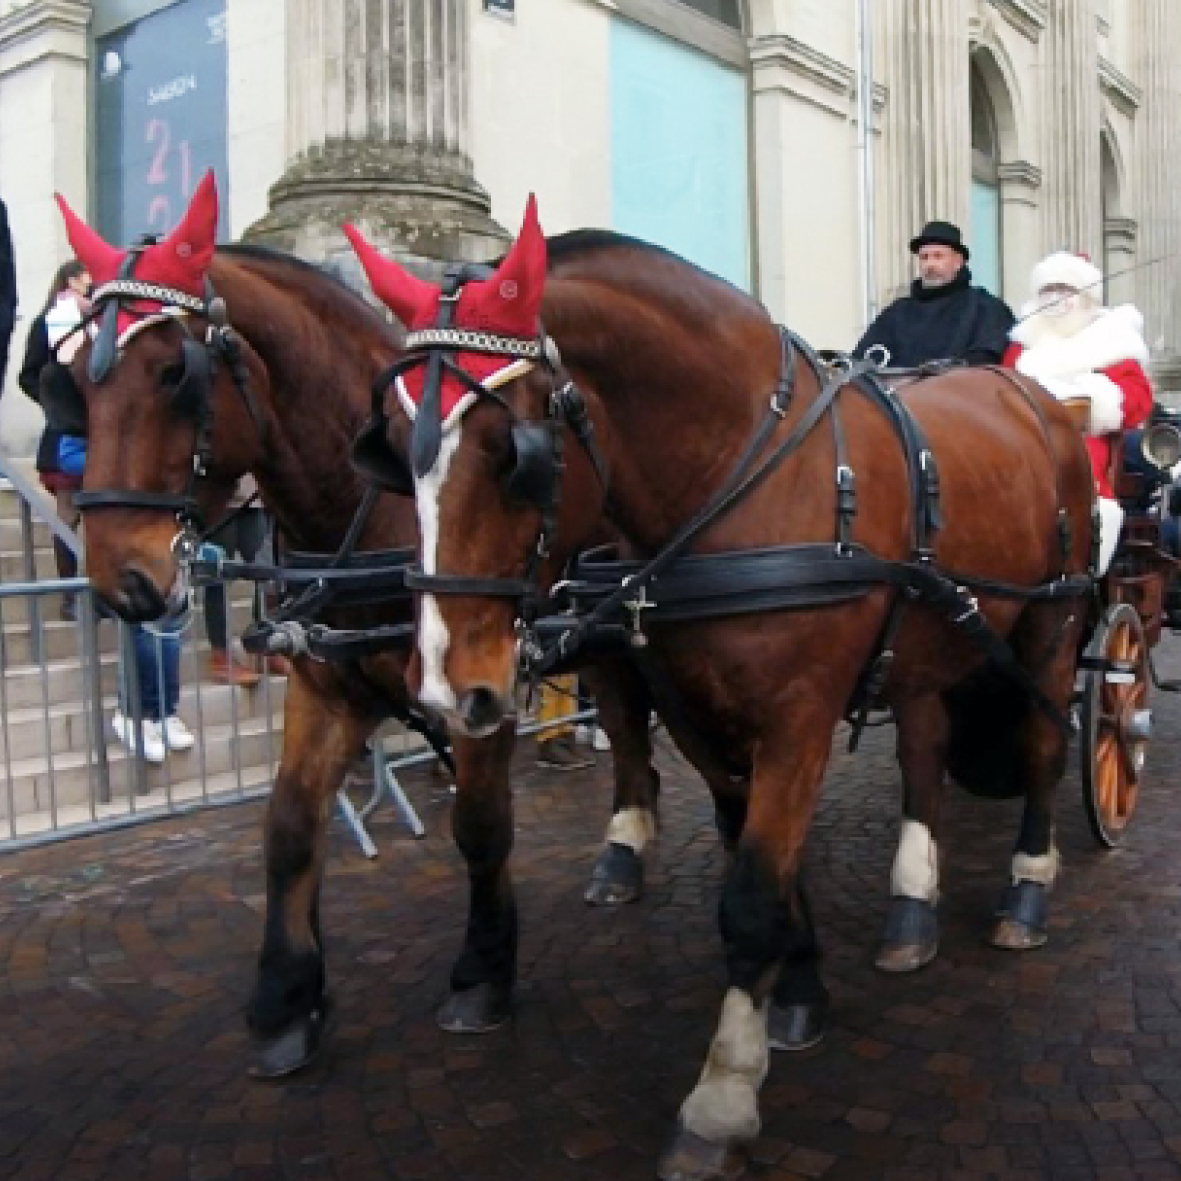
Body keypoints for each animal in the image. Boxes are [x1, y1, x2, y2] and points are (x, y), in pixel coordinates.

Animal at [55, 177, 661, 1081]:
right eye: (75, 383)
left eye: (172, 373)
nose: (121, 581)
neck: (376, 511)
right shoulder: (324, 686)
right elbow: (289, 824)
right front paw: (285, 996)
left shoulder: (477, 686)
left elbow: (480, 826)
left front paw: (483, 967)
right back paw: (626, 844)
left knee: (627, 717)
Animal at [344, 207, 1091, 1176]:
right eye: (393, 454)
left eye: (514, 455)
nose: (445, 685)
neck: (740, 485)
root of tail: (1033, 398)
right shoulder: (703, 721)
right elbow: (763, 871)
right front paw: (798, 994)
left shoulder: (798, 722)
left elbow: (749, 900)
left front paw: (722, 1096)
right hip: (933, 641)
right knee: (925, 753)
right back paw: (910, 908)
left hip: (1051, 623)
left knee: (1044, 744)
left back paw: (1026, 888)